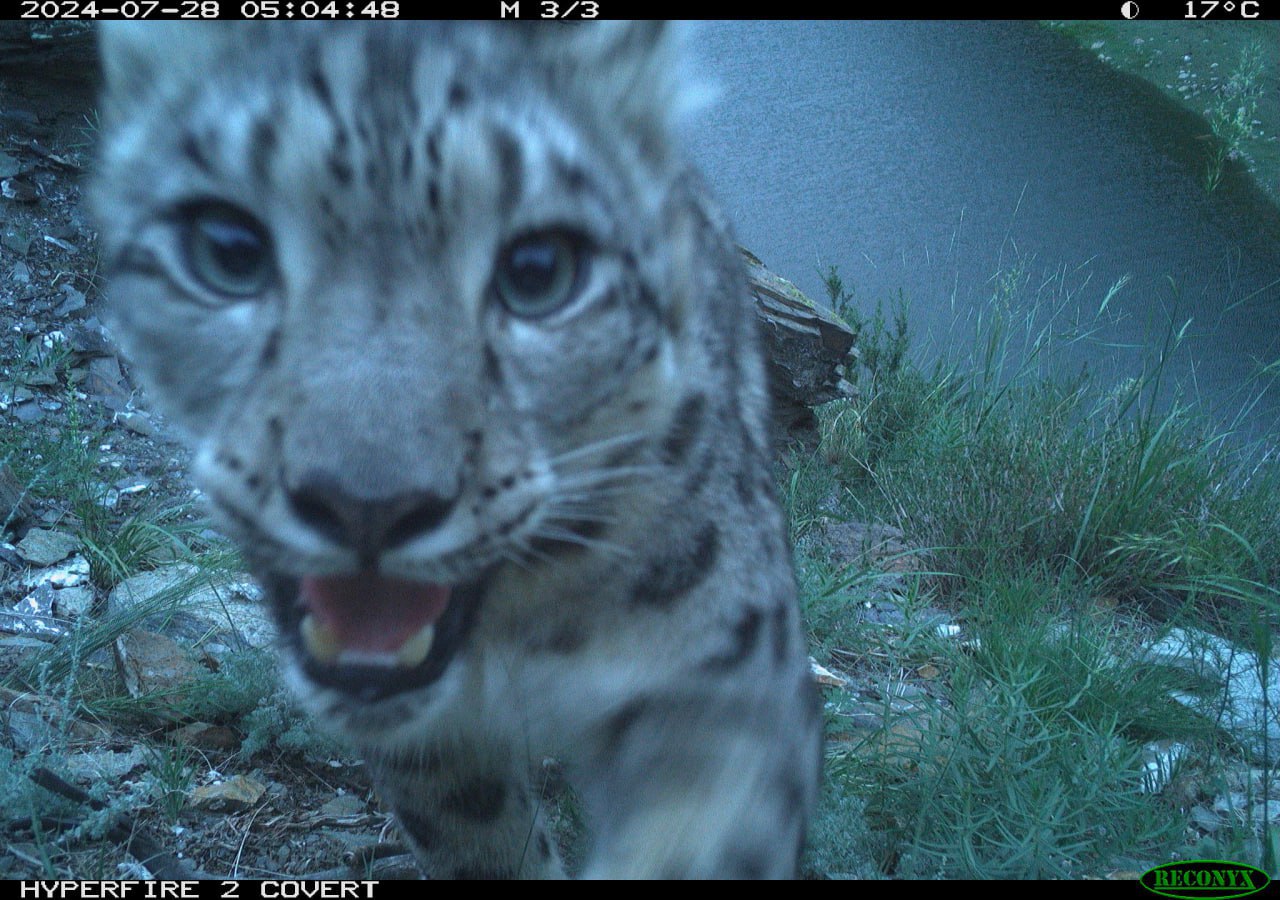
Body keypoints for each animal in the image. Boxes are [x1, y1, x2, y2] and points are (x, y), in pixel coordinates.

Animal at [94, 21, 824, 880]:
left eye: (542, 270)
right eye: (227, 247)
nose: (367, 505)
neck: (517, 630)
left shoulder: (727, 675)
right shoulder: (433, 754)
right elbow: (482, 840)